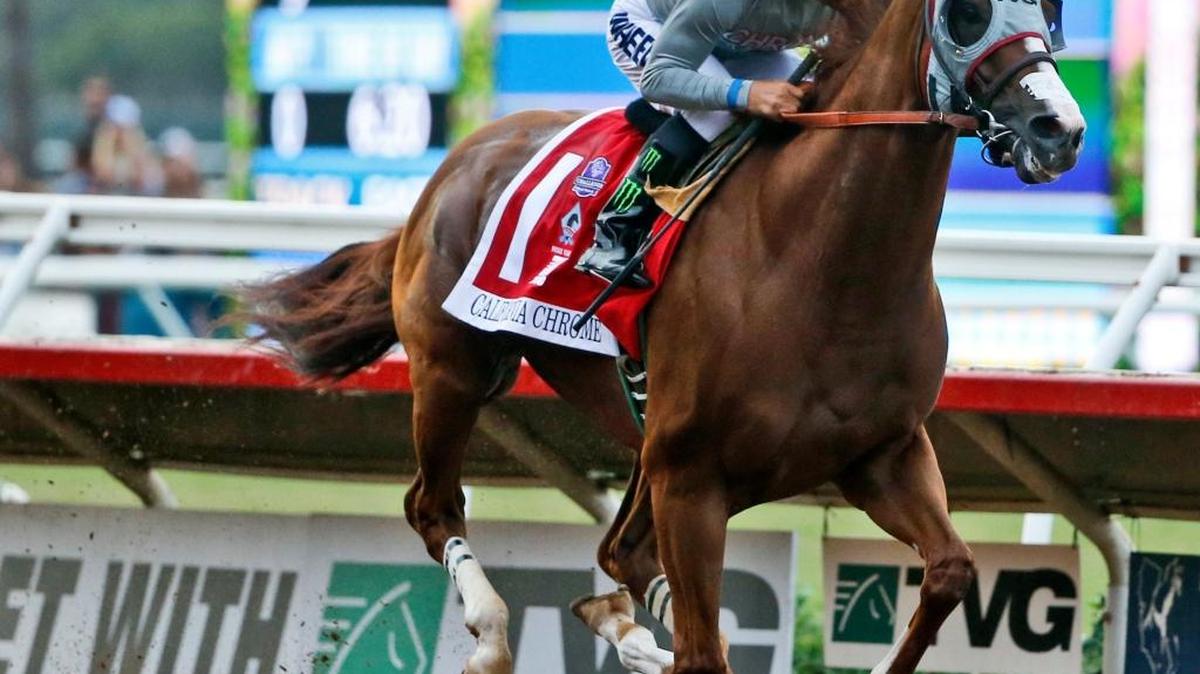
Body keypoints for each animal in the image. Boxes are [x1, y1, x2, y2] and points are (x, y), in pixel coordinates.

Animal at [239, 0, 1085, 671]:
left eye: (1048, 9)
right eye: (969, 11)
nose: (1060, 128)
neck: (823, 262)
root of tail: (455, 163)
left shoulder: (882, 454)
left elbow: (950, 571)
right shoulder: (692, 476)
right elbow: (703, 652)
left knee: (619, 553)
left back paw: (621, 627)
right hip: (455, 373)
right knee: (434, 507)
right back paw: (492, 636)